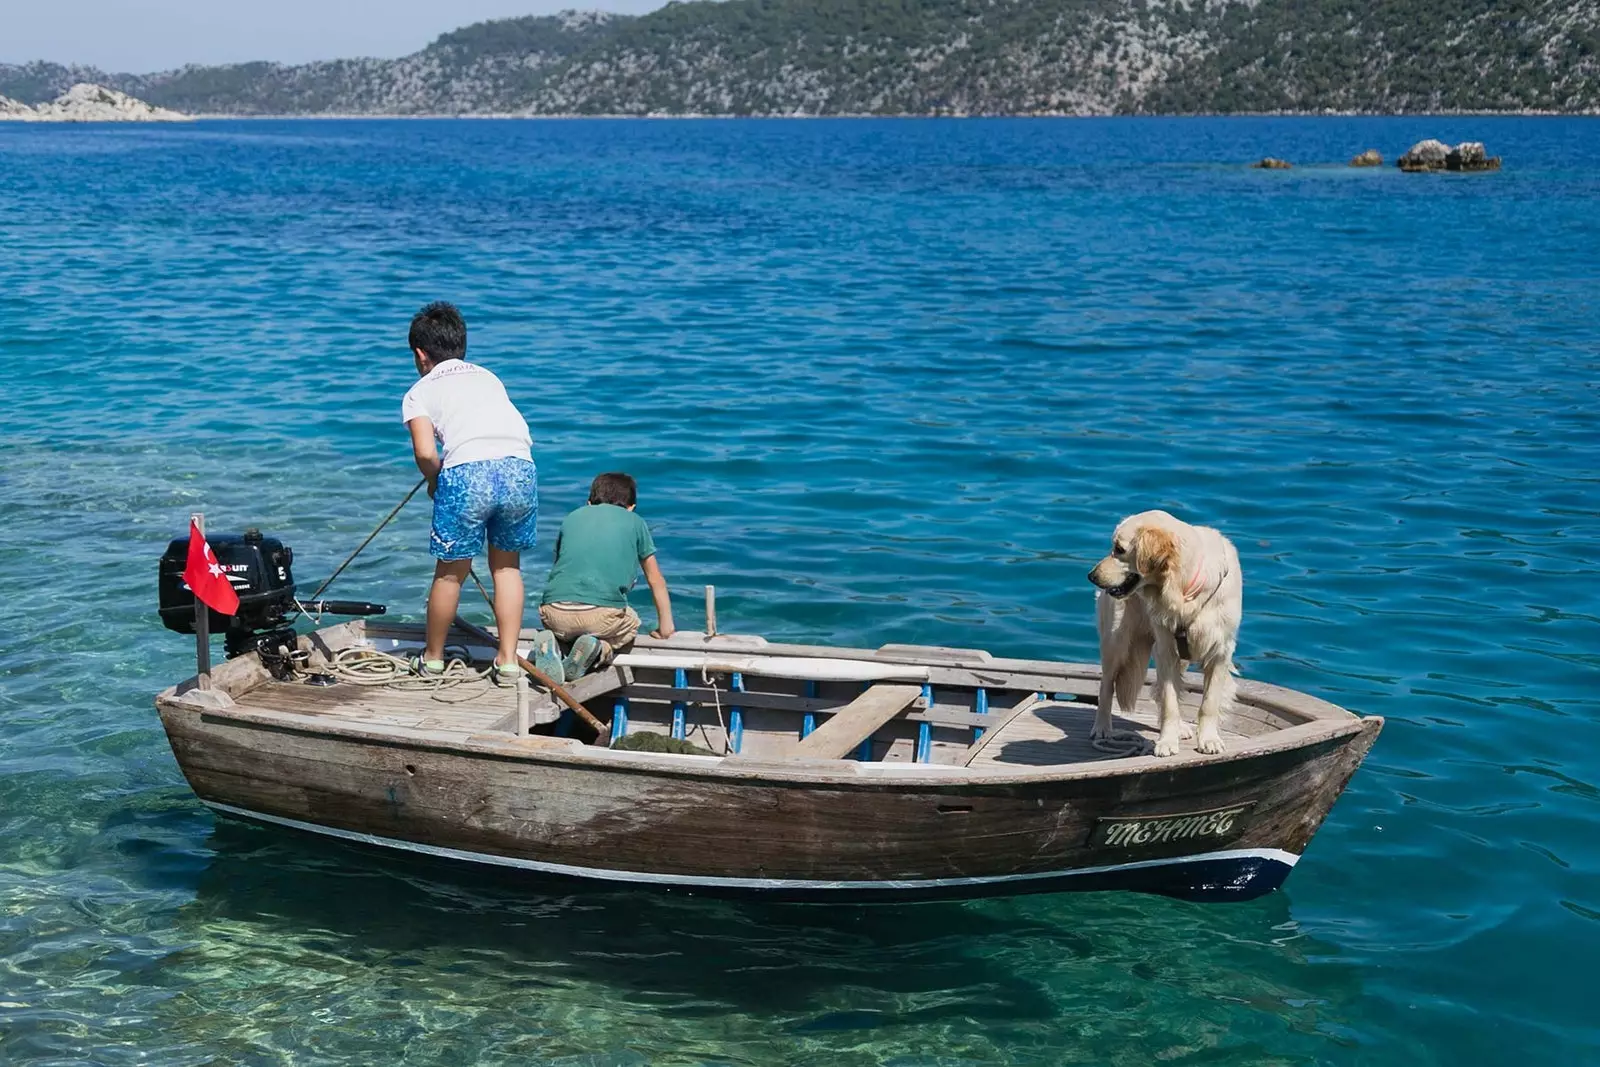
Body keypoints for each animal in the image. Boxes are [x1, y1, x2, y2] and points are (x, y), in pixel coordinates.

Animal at [1081, 511, 1241, 755]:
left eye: (1119, 549)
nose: (1091, 575)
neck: (1183, 590)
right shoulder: (1166, 650)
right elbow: (1169, 702)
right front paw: (1167, 742)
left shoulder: (1220, 652)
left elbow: (1209, 703)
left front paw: (1208, 739)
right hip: (1116, 642)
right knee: (1107, 685)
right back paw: (1102, 728)